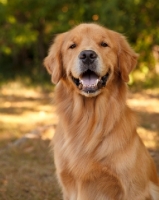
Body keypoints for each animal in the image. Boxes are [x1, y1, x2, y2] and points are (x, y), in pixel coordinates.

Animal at [43, 23, 159, 198]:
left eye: (104, 44)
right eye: (72, 46)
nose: (87, 55)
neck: (88, 118)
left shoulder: (135, 189)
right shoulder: (69, 185)